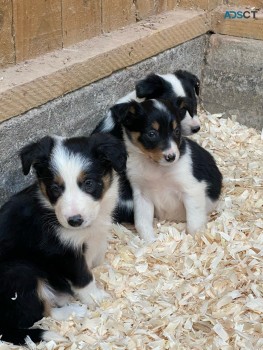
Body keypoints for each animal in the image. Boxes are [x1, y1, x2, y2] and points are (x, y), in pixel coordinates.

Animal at [0, 133, 127, 344]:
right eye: (55, 188)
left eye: (88, 183)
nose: (74, 220)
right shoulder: (64, 252)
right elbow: (84, 278)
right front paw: (97, 298)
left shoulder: (96, 237)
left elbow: (96, 260)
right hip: (20, 273)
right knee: (36, 315)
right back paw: (74, 311)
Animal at [110, 98, 224, 241]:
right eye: (151, 134)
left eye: (177, 131)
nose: (171, 157)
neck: (155, 167)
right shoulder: (141, 194)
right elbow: (142, 223)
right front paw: (149, 242)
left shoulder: (192, 189)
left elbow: (194, 223)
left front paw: (197, 238)